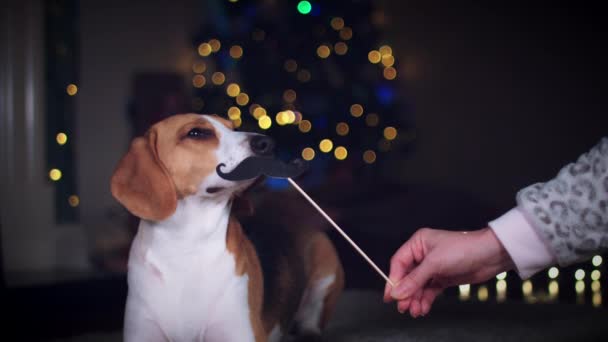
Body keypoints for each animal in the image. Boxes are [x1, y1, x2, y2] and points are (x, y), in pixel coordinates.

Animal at [110, 113, 344, 340]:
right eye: (196, 133)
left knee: (312, 317)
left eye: (234, 127)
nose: (267, 143)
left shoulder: (241, 332)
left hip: (326, 265)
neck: (187, 243)